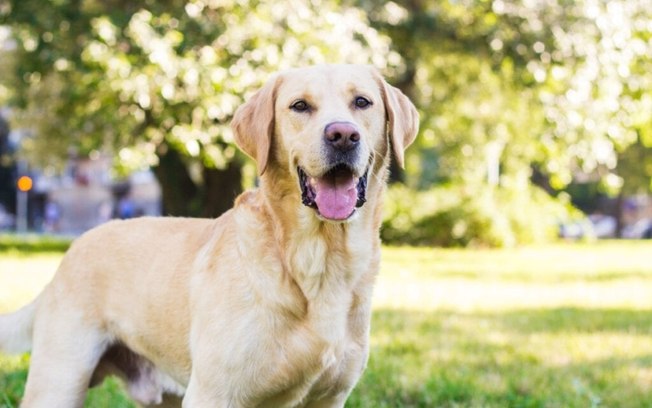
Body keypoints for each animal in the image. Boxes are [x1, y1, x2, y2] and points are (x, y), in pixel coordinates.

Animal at [0, 63, 418, 404]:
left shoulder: (328, 398)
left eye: (362, 102)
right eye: (300, 106)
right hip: (59, 380)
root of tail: (71, 251)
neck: (317, 259)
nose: (343, 135)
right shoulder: (214, 394)